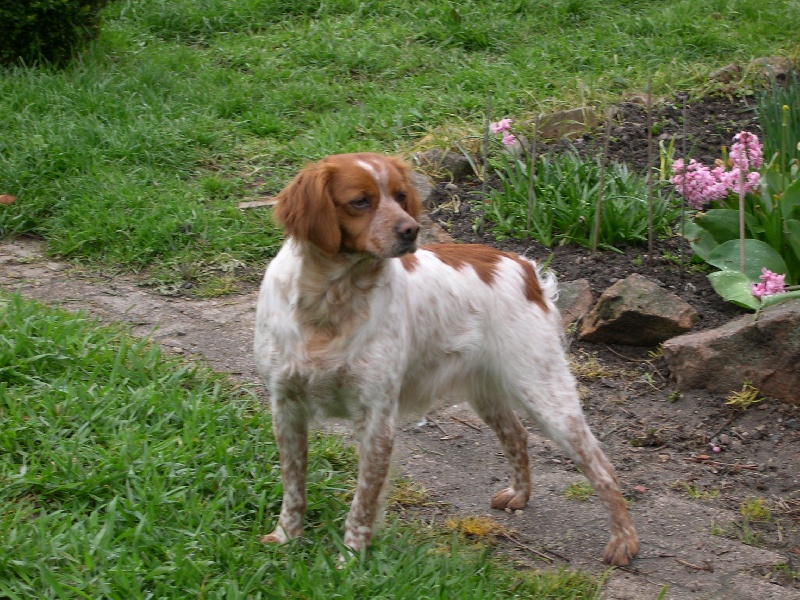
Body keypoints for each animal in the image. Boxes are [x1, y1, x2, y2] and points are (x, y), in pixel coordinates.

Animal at [253, 152, 640, 564]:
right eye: (360, 201)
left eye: (401, 196)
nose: (411, 230)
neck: (331, 302)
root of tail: (522, 266)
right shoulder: (285, 406)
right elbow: (293, 485)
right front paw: (286, 539)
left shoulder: (377, 418)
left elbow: (363, 502)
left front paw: (350, 559)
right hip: (488, 391)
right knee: (517, 435)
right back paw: (520, 495)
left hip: (544, 390)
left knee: (601, 465)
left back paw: (623, 541)